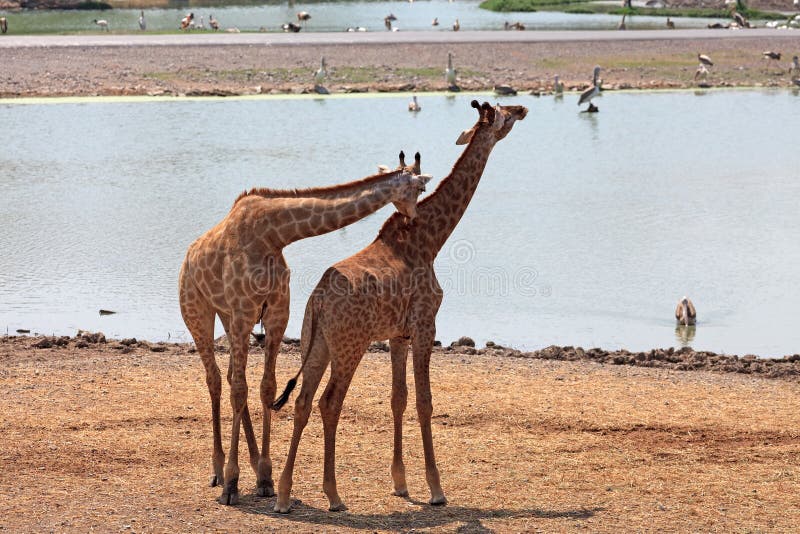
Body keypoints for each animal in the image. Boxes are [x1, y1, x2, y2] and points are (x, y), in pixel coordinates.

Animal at [179, 153, 431, 505]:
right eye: (420, 189)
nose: (413, 219)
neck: (273, 236)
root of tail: (189, 255)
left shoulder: (275, 314)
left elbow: (266, 387)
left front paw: (265, 477)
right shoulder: (244, 312)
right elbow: (240, 390)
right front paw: (232, 483)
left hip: (228, 317)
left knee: (229, 376)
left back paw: (251, 465)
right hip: (197, 310)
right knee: (215, 379)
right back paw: (218, 471)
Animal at [271, 101, 528, 513]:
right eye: (502, 113)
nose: (522, 108)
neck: (429, 239)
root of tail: (319, 300)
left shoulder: (398, 335)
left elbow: (398, 399)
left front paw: (401, 483)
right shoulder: (426, 324)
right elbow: (424, 402)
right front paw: (436, 489)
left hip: (318, 342)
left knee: (302, 401)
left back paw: (282, 495)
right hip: (350, 345)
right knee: (329, 402)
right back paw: (333, 495)